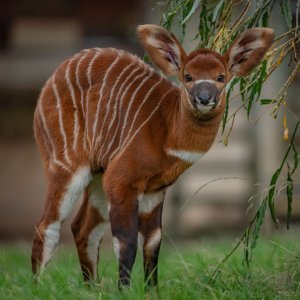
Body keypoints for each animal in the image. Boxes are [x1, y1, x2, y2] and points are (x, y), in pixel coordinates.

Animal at [31, 24, 274, 288]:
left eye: (221, 77)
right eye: (188, 76)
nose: (204, 98)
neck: (168, 129)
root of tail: (51, 81)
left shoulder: (154, 190)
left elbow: (153, 241)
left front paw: (151, 290)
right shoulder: (122, 181)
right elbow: (126, 241)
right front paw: (124, 290)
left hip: (98, 176)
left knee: (83, 227)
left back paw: (92, 288)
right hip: (66, 166)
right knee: (47, 226)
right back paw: (38, 288)